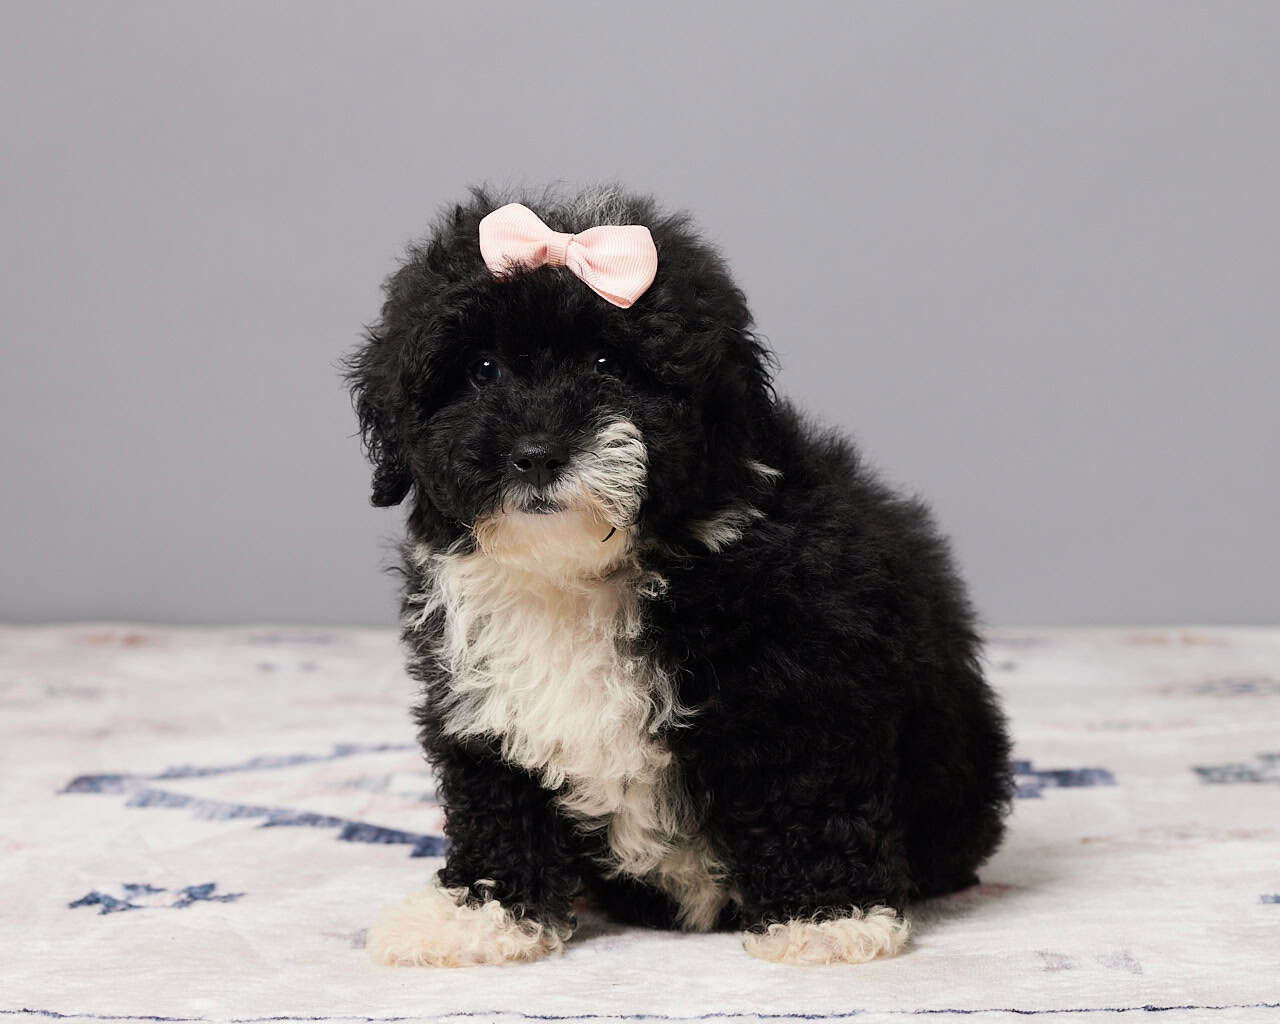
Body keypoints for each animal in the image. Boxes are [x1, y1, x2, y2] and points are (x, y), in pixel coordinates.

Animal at [346, 185, 1012, 967]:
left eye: (610, 363)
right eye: (482, 371)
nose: (537, 453)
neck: (577, 575)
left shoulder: (806, 678)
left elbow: (806, 788)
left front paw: (825, 917)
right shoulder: (484, 700)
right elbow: (499, 800)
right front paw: (482, 912)